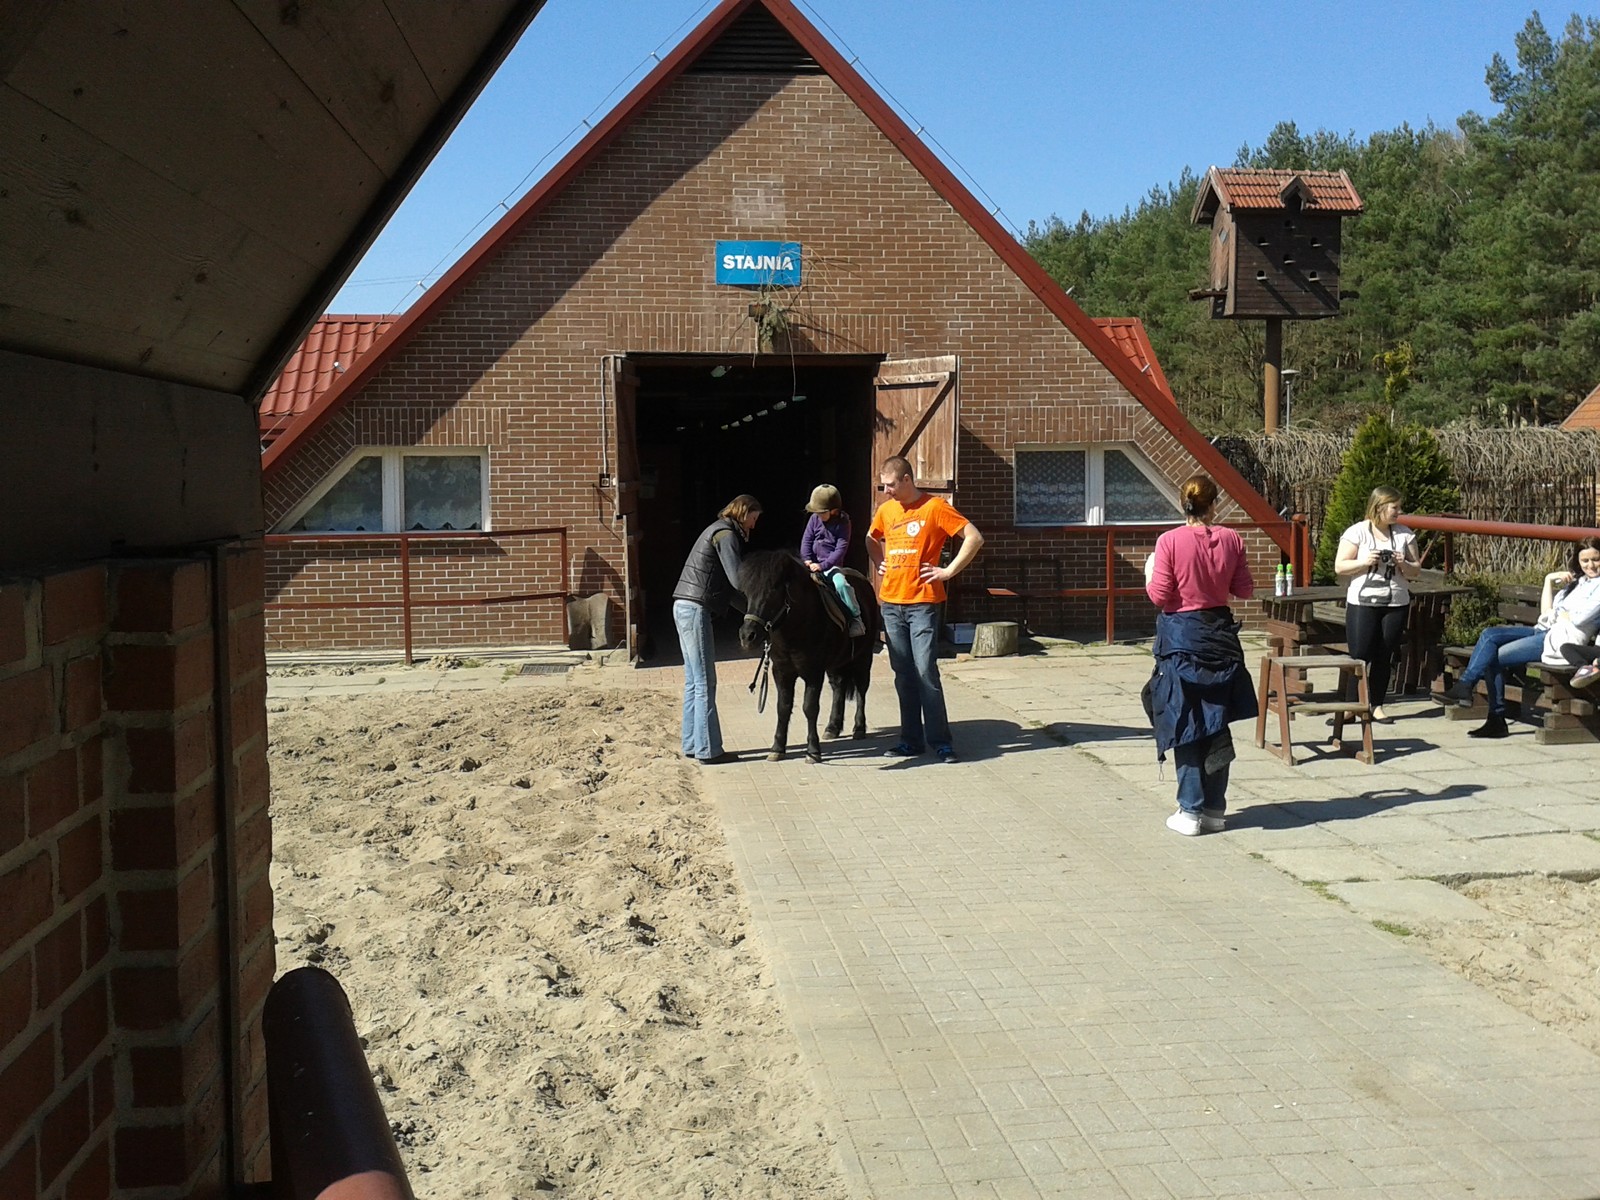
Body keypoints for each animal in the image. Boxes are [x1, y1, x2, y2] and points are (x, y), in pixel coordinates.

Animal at [737, 551, 879, 763]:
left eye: (772, 592)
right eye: (747, 593)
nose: (747, 636)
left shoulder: (813, 672)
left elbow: (809, 708)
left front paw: (813, 751)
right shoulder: (781, 672)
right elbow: (783, 707)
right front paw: (777, 748)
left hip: (863, 656)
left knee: (862, 689)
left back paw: (859, 728)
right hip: (837, 662)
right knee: (838, 686)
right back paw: (832, 727)